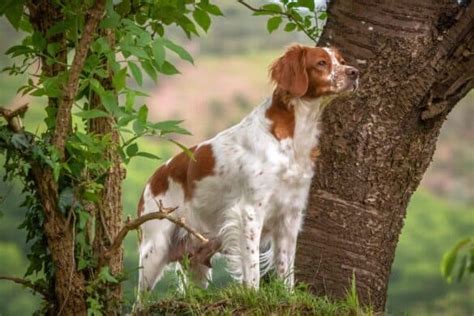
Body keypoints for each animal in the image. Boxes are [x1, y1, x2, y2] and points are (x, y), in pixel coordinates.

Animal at [137, 45, 360, 296]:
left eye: (341, 60)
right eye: (321, 63)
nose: (355, 73)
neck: (292, 138)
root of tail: (152, 180)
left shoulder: (290, 214)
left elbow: (287, 268)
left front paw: (288, 295)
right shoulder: (250, 211)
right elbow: (252, 267)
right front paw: (253, 294)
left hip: (196, 259)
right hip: (155, 248)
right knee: (138, 299)